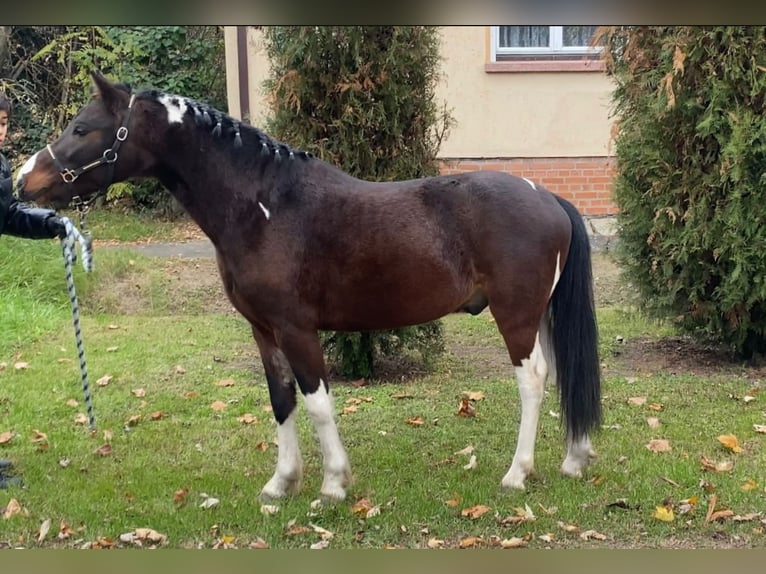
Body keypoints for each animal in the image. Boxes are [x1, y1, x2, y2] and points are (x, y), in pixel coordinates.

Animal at [15, 73, 604, 504]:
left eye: (82, 128)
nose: (22, 180)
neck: (263, 206)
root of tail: (547, 196)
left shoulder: (296, 328)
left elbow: (318, 402)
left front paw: (333, 485)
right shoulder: (263, 330)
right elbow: (281, 401)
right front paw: (282, 483)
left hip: (515, 315)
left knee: (532, 380)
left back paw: (517, 473)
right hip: (540, 314)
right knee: (561, 372)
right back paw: (573, 460)